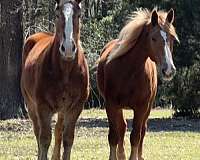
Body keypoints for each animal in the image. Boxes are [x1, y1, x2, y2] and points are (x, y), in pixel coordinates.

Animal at [20, 0, 88, 159]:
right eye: (57, 14)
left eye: (79, 15)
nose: (68, 48)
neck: (66, 72)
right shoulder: (43, 107)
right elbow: (44, 139)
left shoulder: (75, 108)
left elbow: (68, 138)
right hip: (31, 105)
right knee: (37, 131)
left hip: (62, 109)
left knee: (58, 131)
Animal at [96, 8, 179, 160]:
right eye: (153, 38)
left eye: (171, 38)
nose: (169, 70)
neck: (129, 70)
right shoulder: (111, 105)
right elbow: (113, 135)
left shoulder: (141, 107)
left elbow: (135, 136)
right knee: (122, 127)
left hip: (148, 107)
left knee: (142, 130)